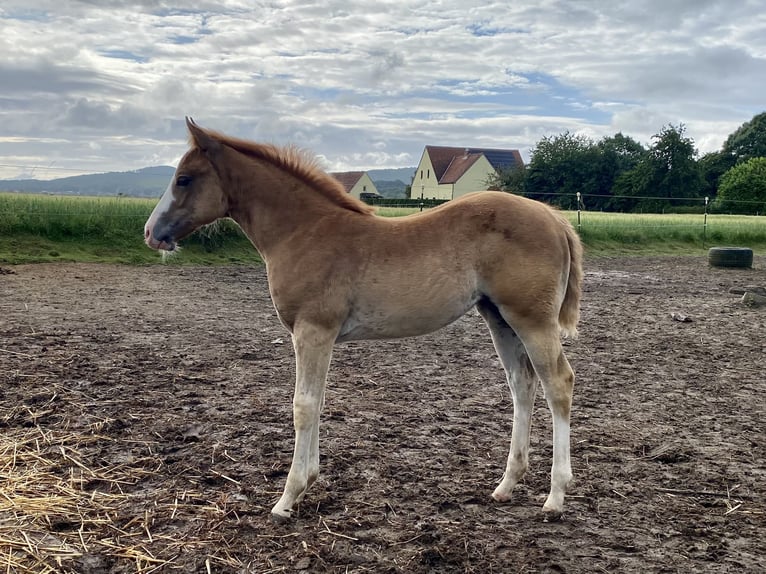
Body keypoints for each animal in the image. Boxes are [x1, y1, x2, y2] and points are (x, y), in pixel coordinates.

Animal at [144, 119, 584, 524]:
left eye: (184, 179)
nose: (151, 232)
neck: (304, 232)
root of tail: (554, 218)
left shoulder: (313, 331)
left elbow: (303, 405)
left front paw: (288, 498)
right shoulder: (318, 337)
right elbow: (318, 401)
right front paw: (309, 481)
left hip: (531, 319)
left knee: (558, 383)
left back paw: (556, 496)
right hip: (499, 317)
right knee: (522, 384)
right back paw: (506, 485)